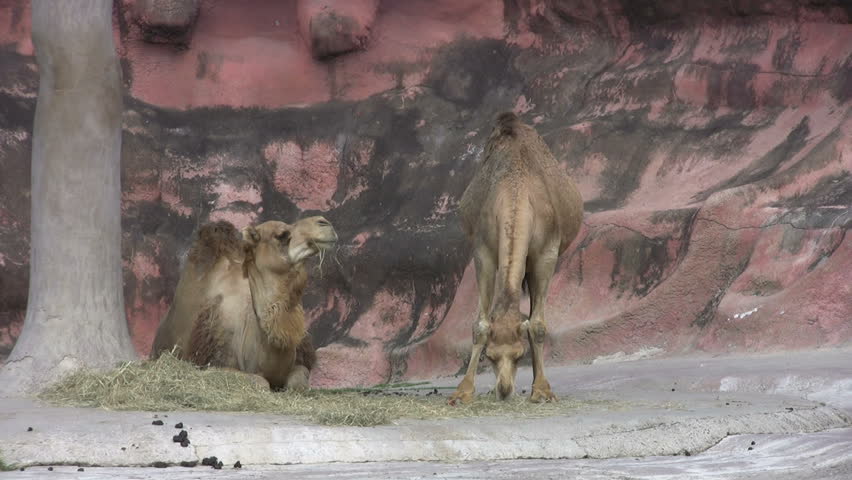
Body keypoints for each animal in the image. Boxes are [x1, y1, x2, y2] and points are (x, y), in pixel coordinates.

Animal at [151, 216, 337, 390]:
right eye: (281, 235)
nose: (323, 222)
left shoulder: (299, 363)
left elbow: (297, 382)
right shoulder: (214, 364)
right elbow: (261, 382)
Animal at [449, 112, 583, 404]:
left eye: (519, 356)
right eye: (489, 356)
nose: (504, 389)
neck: (516, 188)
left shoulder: (546, 254)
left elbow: (538, 325)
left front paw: (542, 390)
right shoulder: (483, 251)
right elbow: (480, 324)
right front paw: (462, 392)